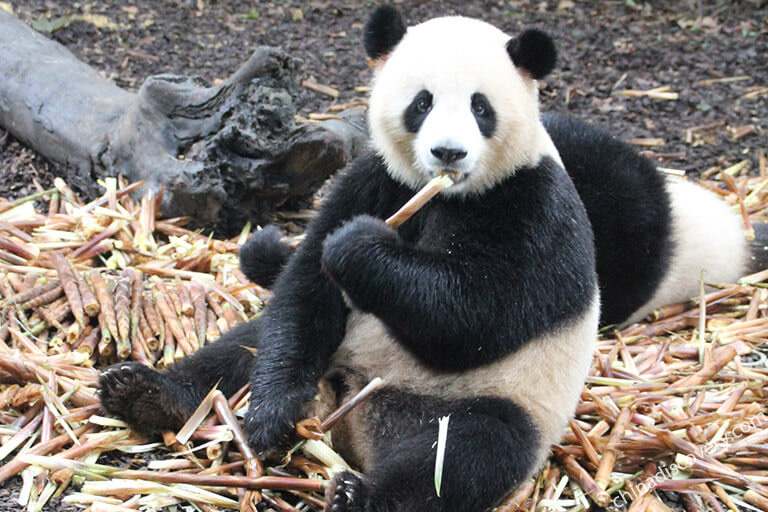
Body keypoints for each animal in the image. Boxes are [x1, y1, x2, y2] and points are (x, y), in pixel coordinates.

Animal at [100, 5, 756, 512]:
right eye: (422, 102)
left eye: (481, 107)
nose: (447, 152)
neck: (445, 194)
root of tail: (352, 420)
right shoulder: (374, 179)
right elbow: (304, 291)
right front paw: (265, 418)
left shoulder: (535, 205)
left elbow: (477, 316)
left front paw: (361, 248)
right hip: (331, 356)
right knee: (241, 351)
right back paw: (146, 392)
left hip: (494, 403)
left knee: (466, 455)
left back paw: (360, 494)